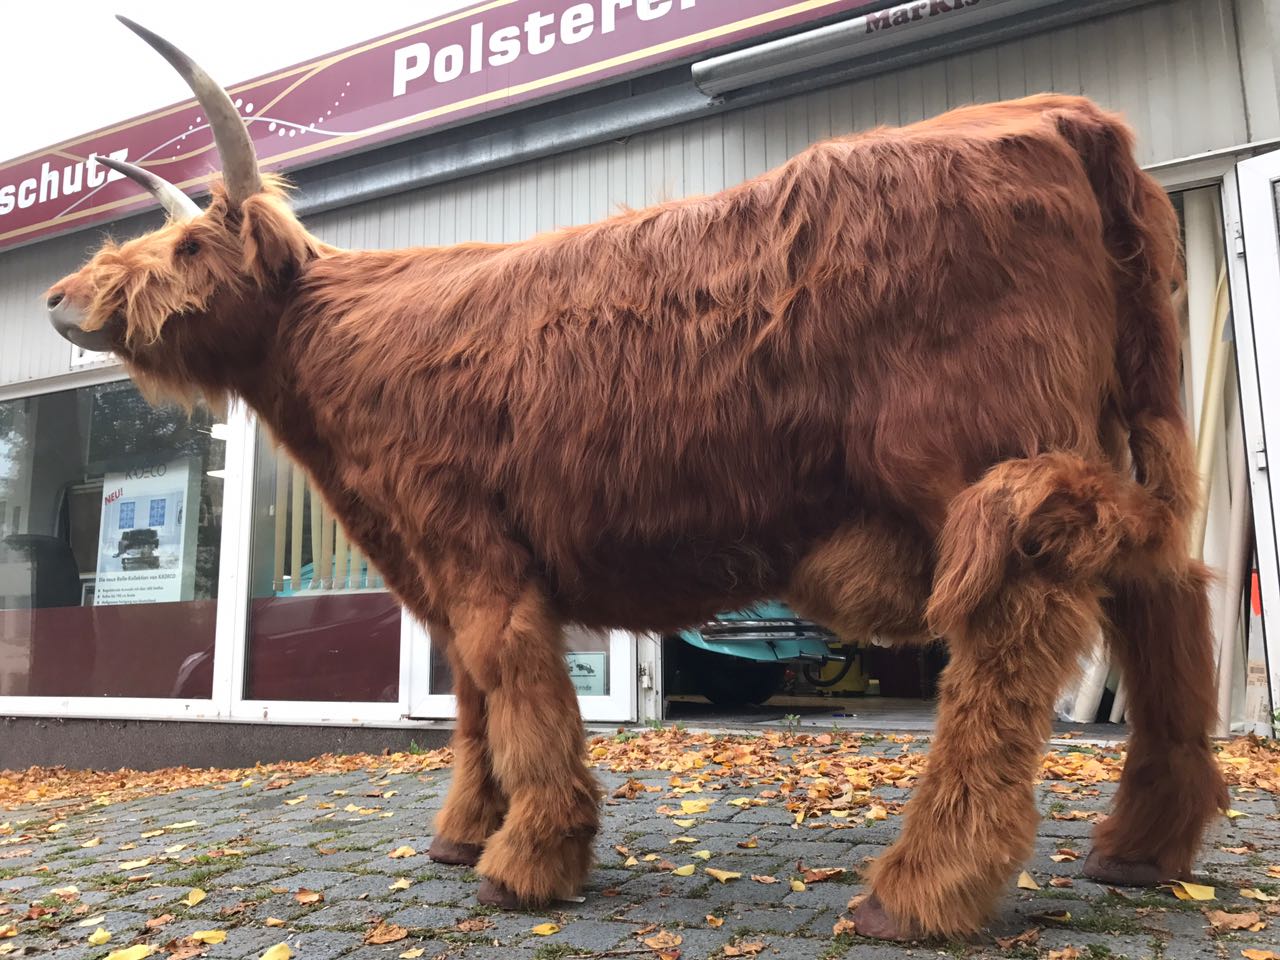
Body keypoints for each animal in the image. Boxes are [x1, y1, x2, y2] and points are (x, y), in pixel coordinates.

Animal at [46, 18, 1227, 940]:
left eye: (185, 249)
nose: (60, 298)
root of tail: (1062, 115)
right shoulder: (436, 564)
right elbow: (471, 695)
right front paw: (462, 835)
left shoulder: (470, 543)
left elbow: (515, 683)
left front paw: (529, 858)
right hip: (1115, 429)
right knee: (1161, 593)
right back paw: (1140, 850)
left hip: (975, 461)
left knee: (1020, 620)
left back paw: (920, 891)